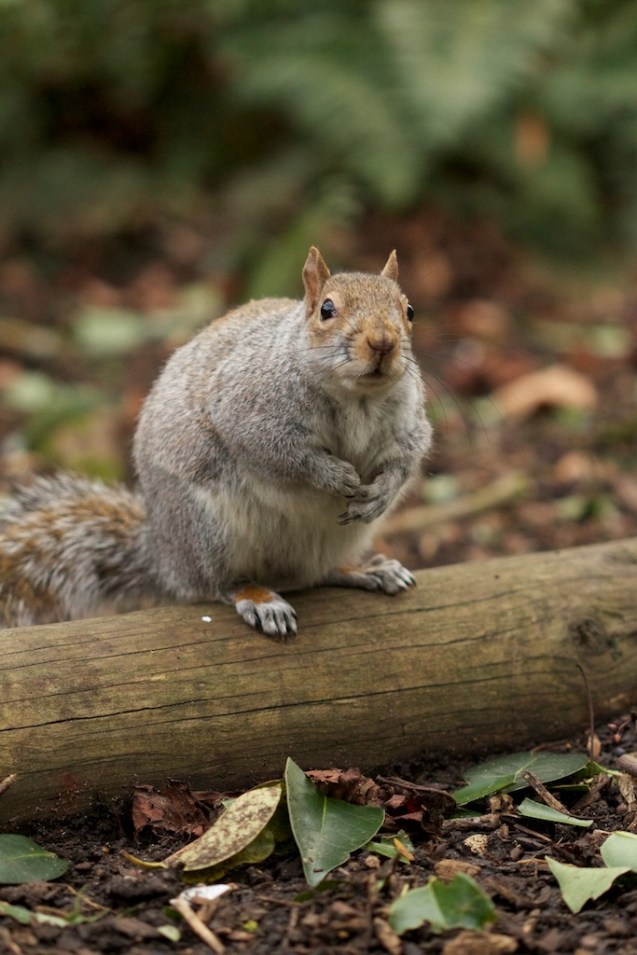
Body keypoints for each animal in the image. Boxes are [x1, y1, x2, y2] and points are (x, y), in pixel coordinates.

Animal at [0, 247, 431, 637]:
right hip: (210, 532)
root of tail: (165, 557)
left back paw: (364, 568)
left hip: (332, 541)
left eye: (409, 310)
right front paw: (332, 475)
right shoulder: (246, 412)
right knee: (220, 584)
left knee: (315, 574)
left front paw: (381, 493)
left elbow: (408, 456)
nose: (383, 342)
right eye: (327, 309)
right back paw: (260, 599)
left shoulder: (409, 424)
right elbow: (280, 454)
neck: (357, 398)